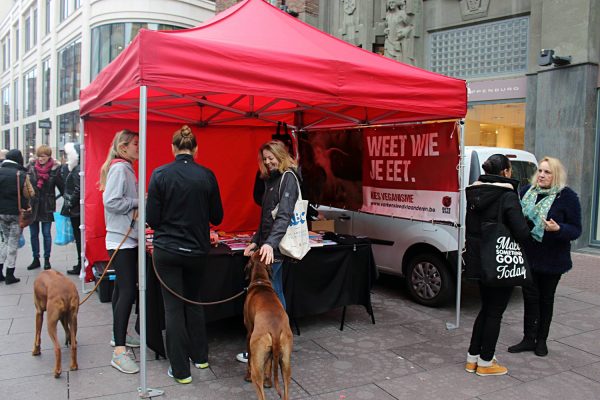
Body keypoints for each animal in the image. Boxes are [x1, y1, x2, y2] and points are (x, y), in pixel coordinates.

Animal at [243, 253, 292, 400]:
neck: (261, 282)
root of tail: (275, 330)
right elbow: (270, 364)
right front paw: (269, 382)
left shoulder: (248, 334)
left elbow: (249, 360)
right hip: (286, 363)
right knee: (286, 388)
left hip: (257, 367)